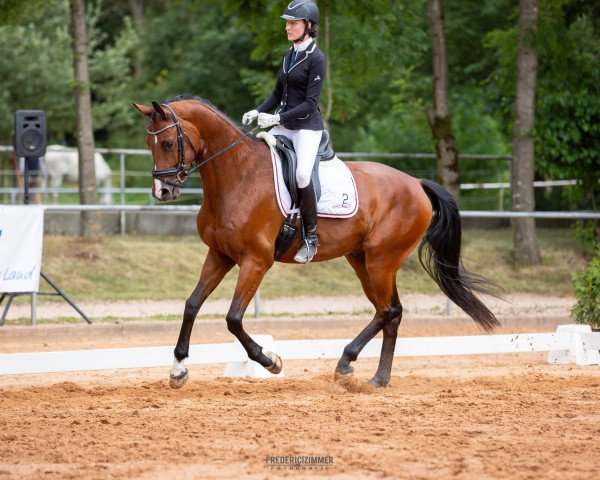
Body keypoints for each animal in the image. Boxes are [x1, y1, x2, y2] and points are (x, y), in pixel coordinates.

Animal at [132, 95, 502, 388]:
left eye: (168, 143)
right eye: (149, 145)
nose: (162, 191)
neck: (236, 175)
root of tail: (416, 184)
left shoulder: (256, 261)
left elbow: (233, 318)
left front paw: (270, 361)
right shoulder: (220, 255)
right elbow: (192, 305)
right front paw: (178, 369)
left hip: (382, 259)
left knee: (389, 310)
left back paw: (350, 365)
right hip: (362, 260)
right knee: (389, 312)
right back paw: (375, 377)